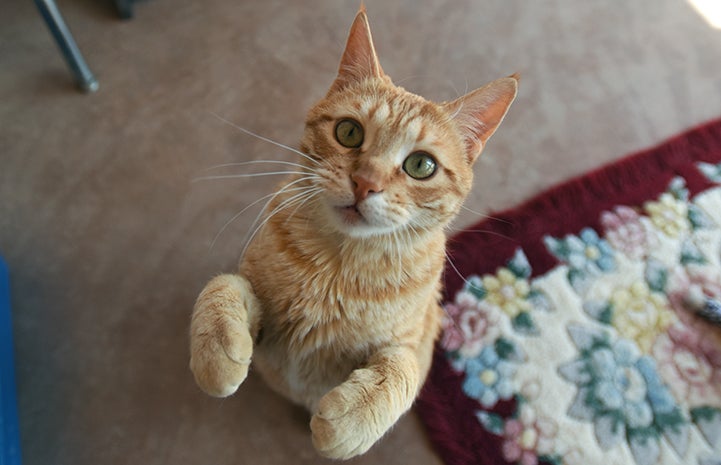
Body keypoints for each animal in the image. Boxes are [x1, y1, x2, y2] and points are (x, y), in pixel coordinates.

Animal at [190, 5, 516, 458]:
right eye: (349, 131)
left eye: (421, 165)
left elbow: (401, 367)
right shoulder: (260, 315)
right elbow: (223, 284)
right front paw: (217, 355)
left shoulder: (414, 346)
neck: (336, 269)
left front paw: (349, 421)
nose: (365, 182)